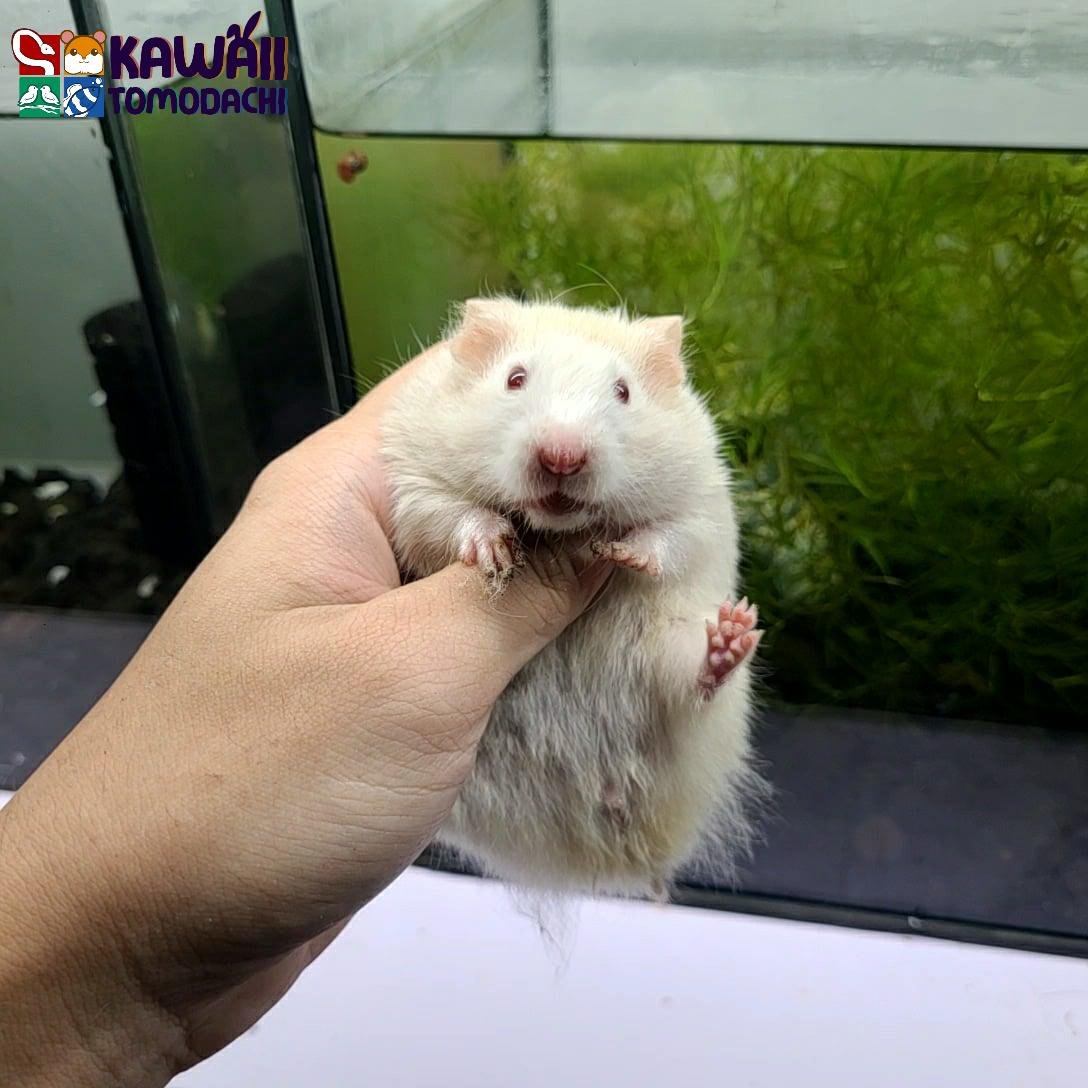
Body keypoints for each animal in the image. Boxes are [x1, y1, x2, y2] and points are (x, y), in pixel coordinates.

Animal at [380, 297, 764, 898]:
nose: (562, 456)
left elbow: (669, 537)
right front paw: (496, 552)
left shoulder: (701, 497)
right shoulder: (414, 477)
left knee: (691, 681)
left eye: (624, 392)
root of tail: (599, 851)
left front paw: (621, 553)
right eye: (514, 379)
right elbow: (450, 516)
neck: (557, 527)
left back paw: (729, 635)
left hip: (672, 676)